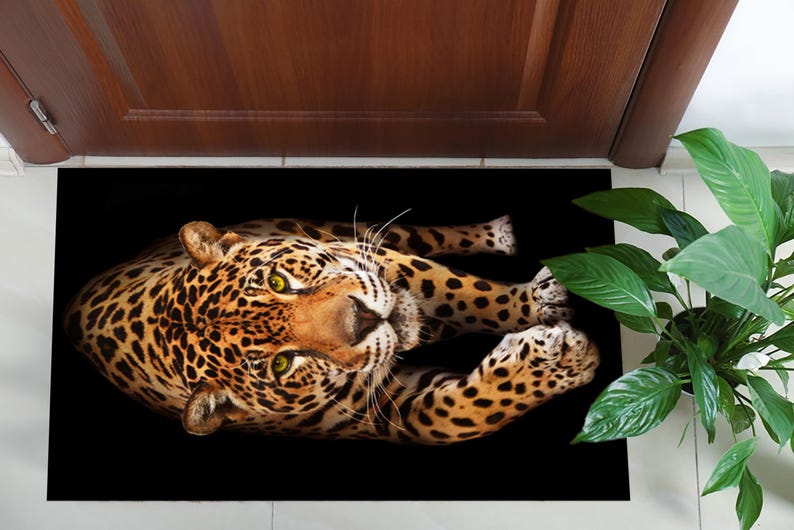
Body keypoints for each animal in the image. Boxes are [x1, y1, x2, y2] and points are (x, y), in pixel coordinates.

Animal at [63, 215, 599, 444]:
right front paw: (562, 357)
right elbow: (456, 417)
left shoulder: (372, 259)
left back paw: (500, 233)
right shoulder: (388, 410)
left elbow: (458, 289)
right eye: (282, 362)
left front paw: (542, 303)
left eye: (279, 282)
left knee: (431, 236)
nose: (363, 319)